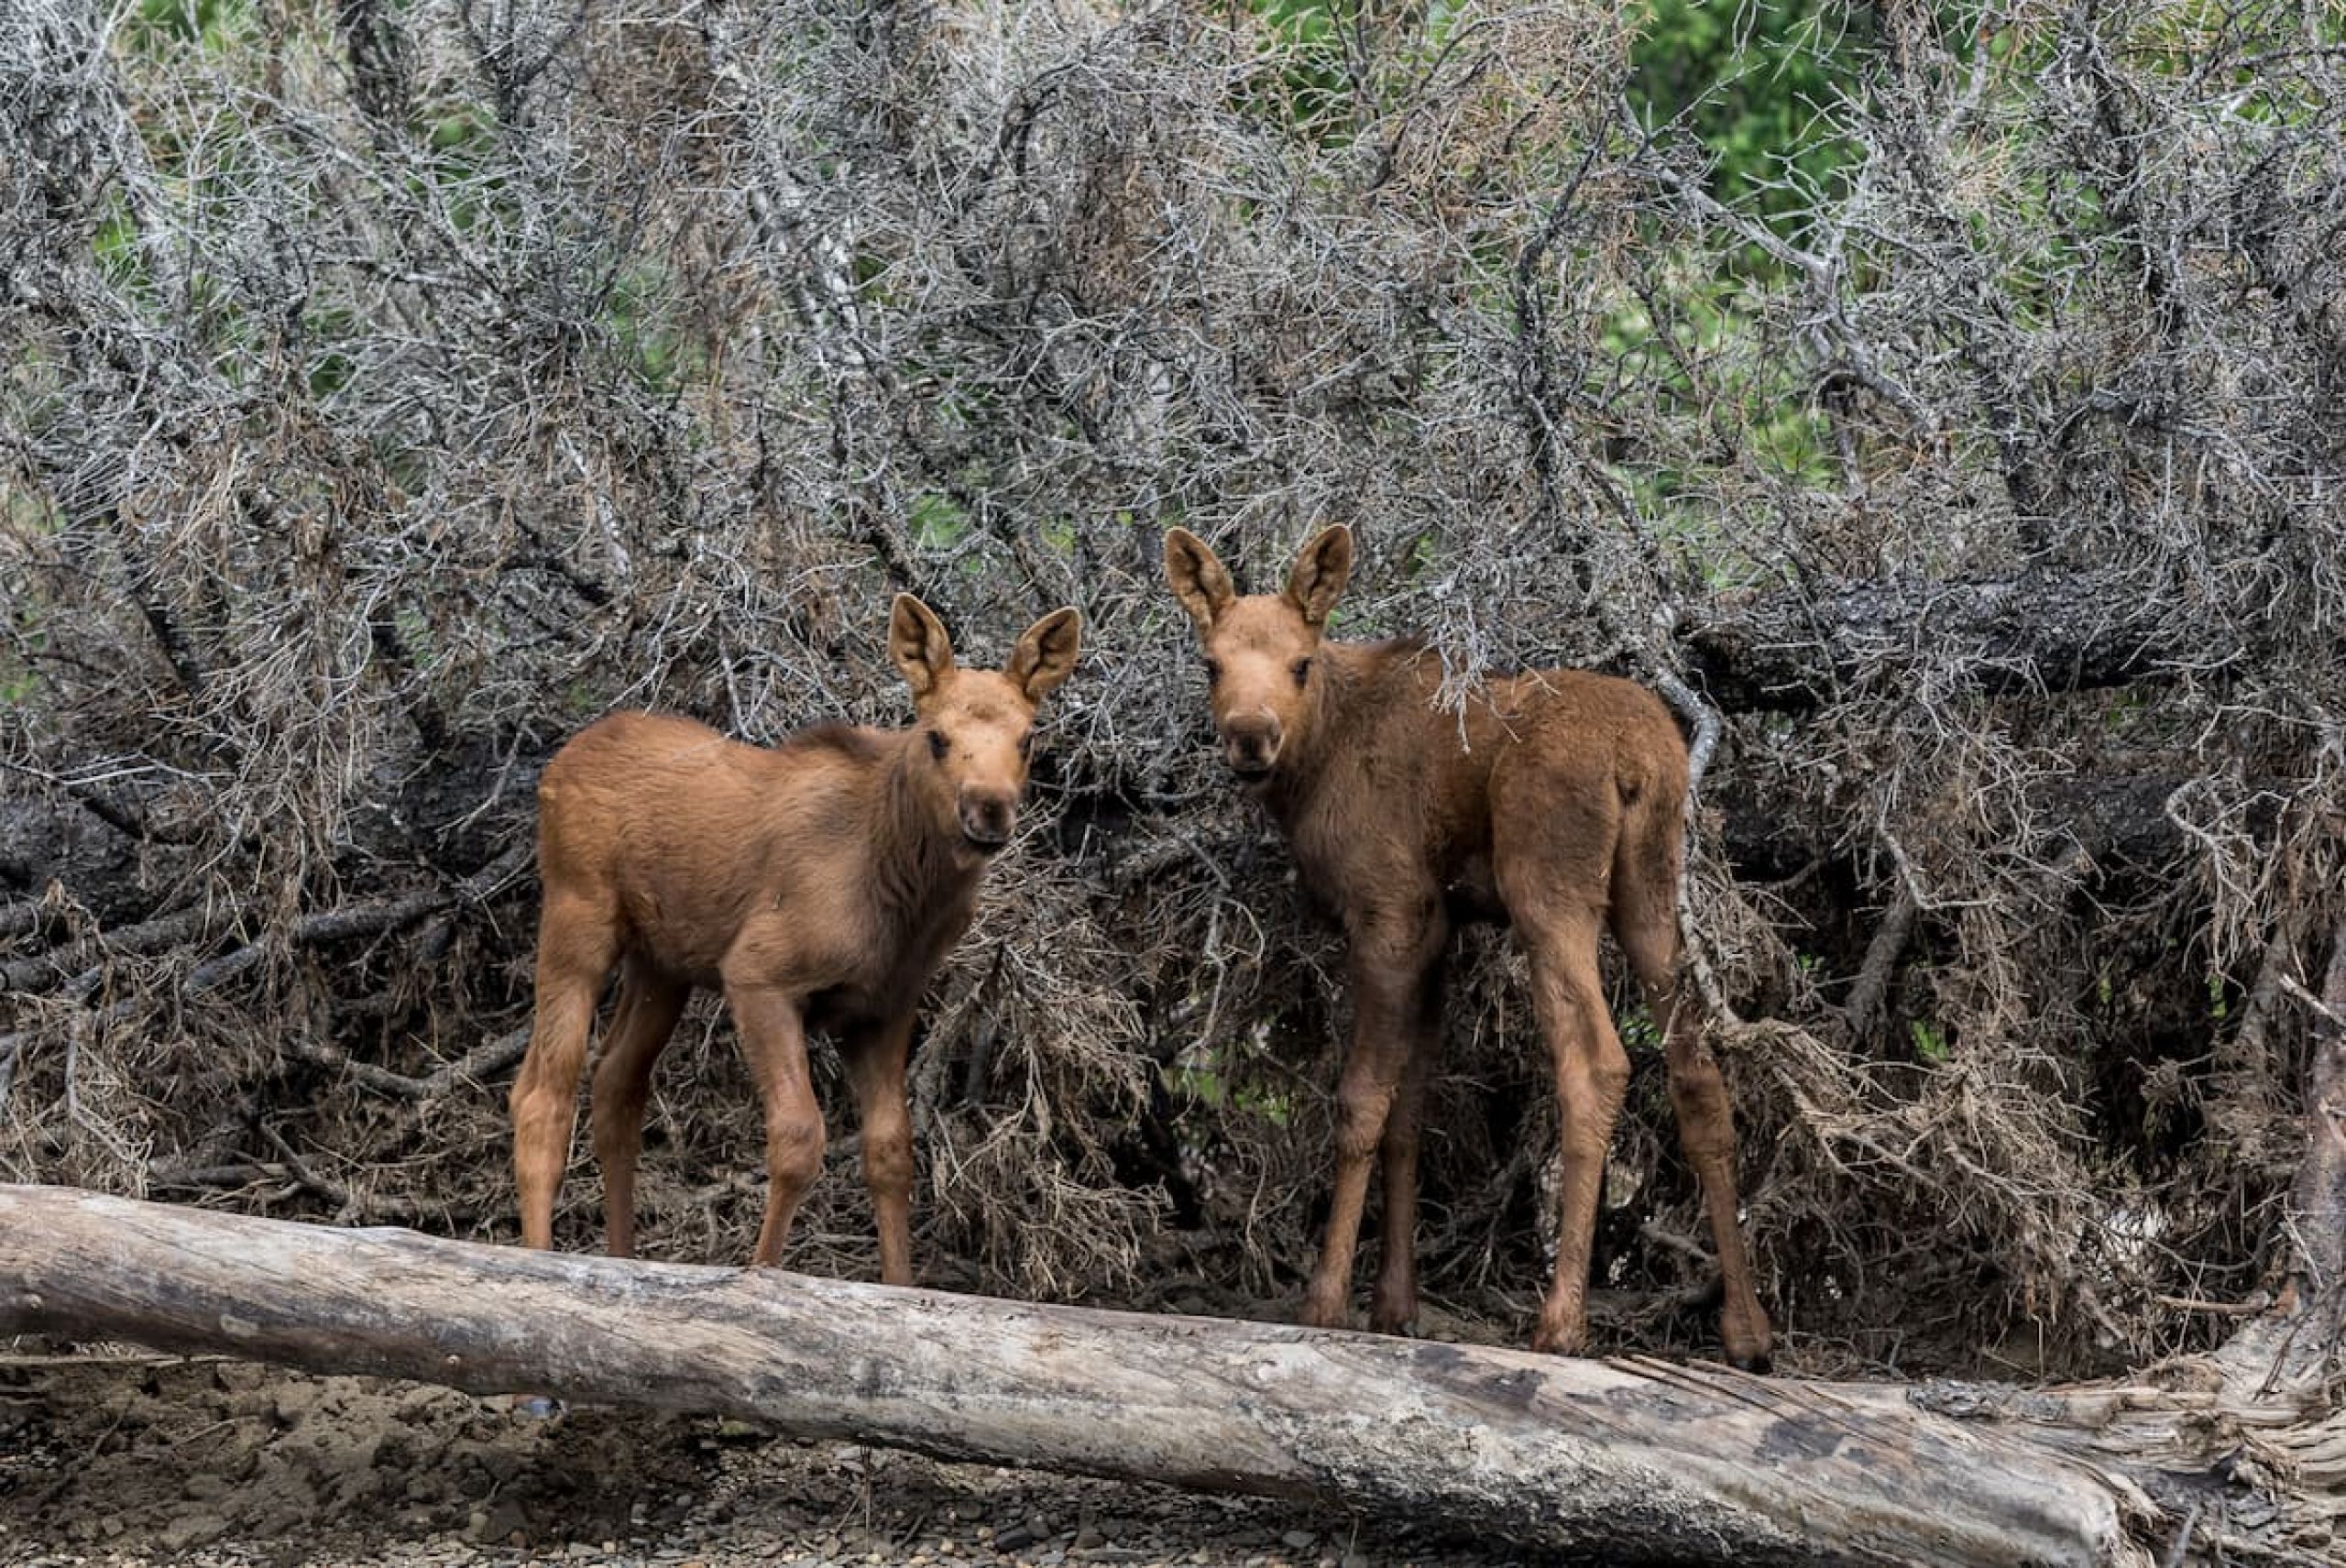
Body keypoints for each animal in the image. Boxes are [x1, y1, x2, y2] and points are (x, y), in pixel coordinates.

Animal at [513, 594, 1079, 1277]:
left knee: (616, 1085)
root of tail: (557, 763)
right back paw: (542, 1258)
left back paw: (622, 1259)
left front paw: (898, 1283)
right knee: (541, 1092)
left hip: (662, 965)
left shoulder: (883, 1008)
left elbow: (891, 1153)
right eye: (936, 736)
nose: (989, 808)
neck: (904, 893)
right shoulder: (759, 975)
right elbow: (799, 1138)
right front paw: (761, 1271)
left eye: (1027, 738)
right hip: (578, 918)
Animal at [1163, 525, 1764, 1370]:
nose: (1251, 736)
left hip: (1547, 890)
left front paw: (1327, 1299)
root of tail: (1637, 760)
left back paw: (1562, 1320)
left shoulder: (1388, 912)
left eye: (1300, 663)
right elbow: (1412, 1108)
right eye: (1212, 662)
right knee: (1698, 1071)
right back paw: (1747, 1328)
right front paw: (1396, 1303)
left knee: (1597, 1061)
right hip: (1649, 895)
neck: (1314, 766)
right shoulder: (1437, 930)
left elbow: (1360, 1103)